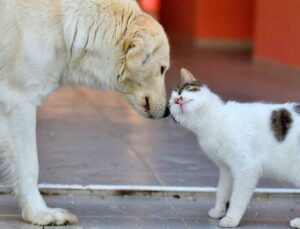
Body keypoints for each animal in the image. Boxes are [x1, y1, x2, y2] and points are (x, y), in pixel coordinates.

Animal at [0, 0, 170, 225]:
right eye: (162, 69)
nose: (168, 111)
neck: (64, 23)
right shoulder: (20, 101)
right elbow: (29, 166)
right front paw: (40, 213)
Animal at [170, 69, 298, 228]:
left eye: (182, 90)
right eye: (171, 104)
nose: (177, 100)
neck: (209, 122)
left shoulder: (246, 167)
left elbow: (238, 197)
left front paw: (231, 219)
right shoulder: (226, 169)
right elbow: (222, 190)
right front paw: (218, 211)